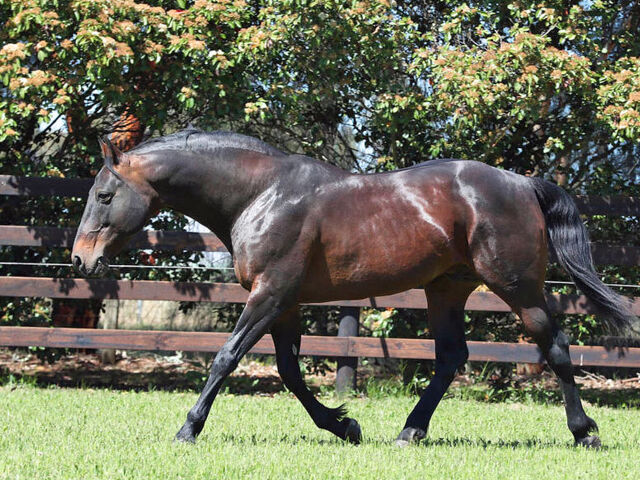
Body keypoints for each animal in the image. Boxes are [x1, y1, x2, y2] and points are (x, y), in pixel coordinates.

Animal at [72, 128, 636, 448]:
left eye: (104, 195)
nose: (81, 258)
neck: (262, 195)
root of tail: (523, 183)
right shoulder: (284, 304)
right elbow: (289, 373)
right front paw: (344, 426)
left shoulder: (269, 296)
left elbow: (227, 358)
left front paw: (188, 430)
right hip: (446, 290)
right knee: (452, 356)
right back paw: (409, 432)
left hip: (518, 288)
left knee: (555, 347)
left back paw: (584, 433)